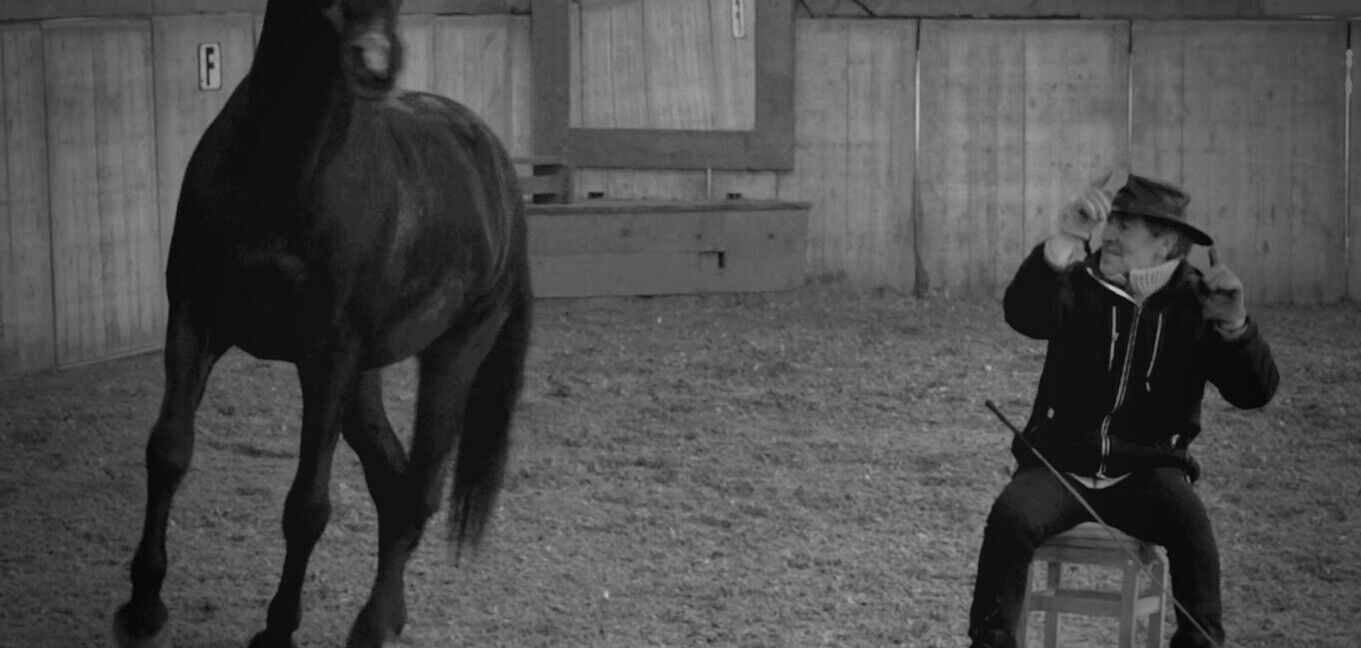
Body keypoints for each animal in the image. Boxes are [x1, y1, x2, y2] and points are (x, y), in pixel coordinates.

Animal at [112, 0, 532, 645]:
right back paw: (390, 616)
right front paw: (142, 605)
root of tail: (499, 171)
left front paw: (277, 630)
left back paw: (373, 623)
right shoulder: (193, 320)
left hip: (452, 355)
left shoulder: (327, 356)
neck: (283, 168)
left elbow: (307, 506)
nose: (375, 64)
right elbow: (169, 452)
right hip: (363, 381)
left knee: (419, 490)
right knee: (392, 480)